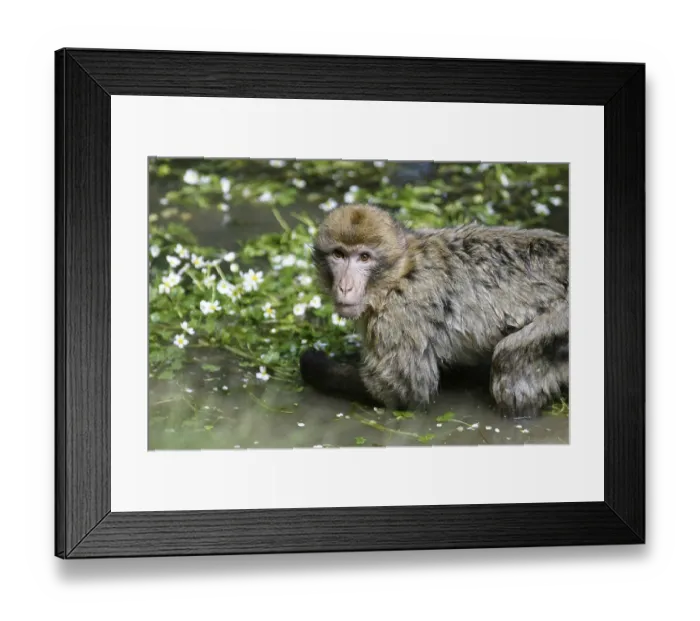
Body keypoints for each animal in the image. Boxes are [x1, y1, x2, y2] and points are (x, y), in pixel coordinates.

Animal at [299, 204, 569, 419]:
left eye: (364, 257)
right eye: (339, 254)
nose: (345, 286)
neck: (399, 274)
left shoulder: (399, 316)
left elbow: (400, 392)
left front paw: (312, 364)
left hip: (562, 323)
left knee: (509, 359)